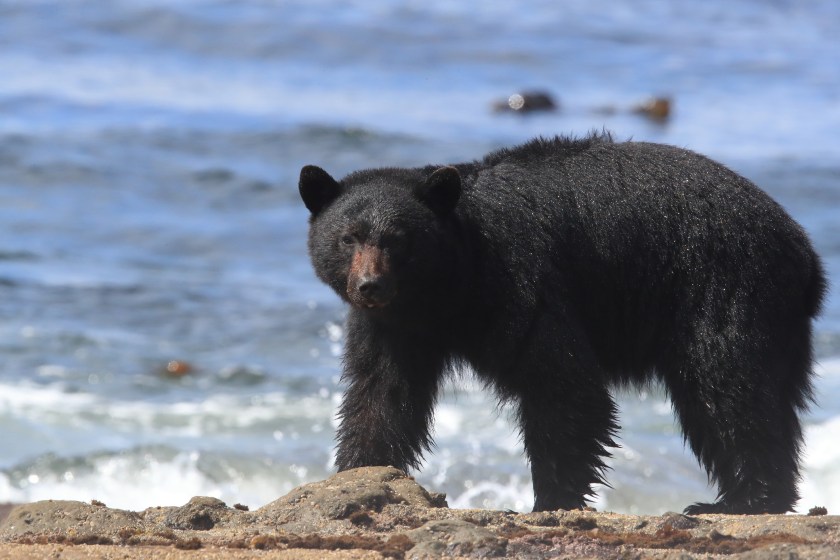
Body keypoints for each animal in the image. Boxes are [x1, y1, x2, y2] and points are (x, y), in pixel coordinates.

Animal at [299, 132, 826, 514]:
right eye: (348, 238)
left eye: (398, 239)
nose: (370, 286)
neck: (450, 285)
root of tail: (804, 251)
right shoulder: (395, 328)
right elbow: (381, 394)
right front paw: (353, 474)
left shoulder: (522, 285)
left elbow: (563, 386)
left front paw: (550, 501)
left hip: (725, 285)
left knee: (728, 389)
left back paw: (742, 501)